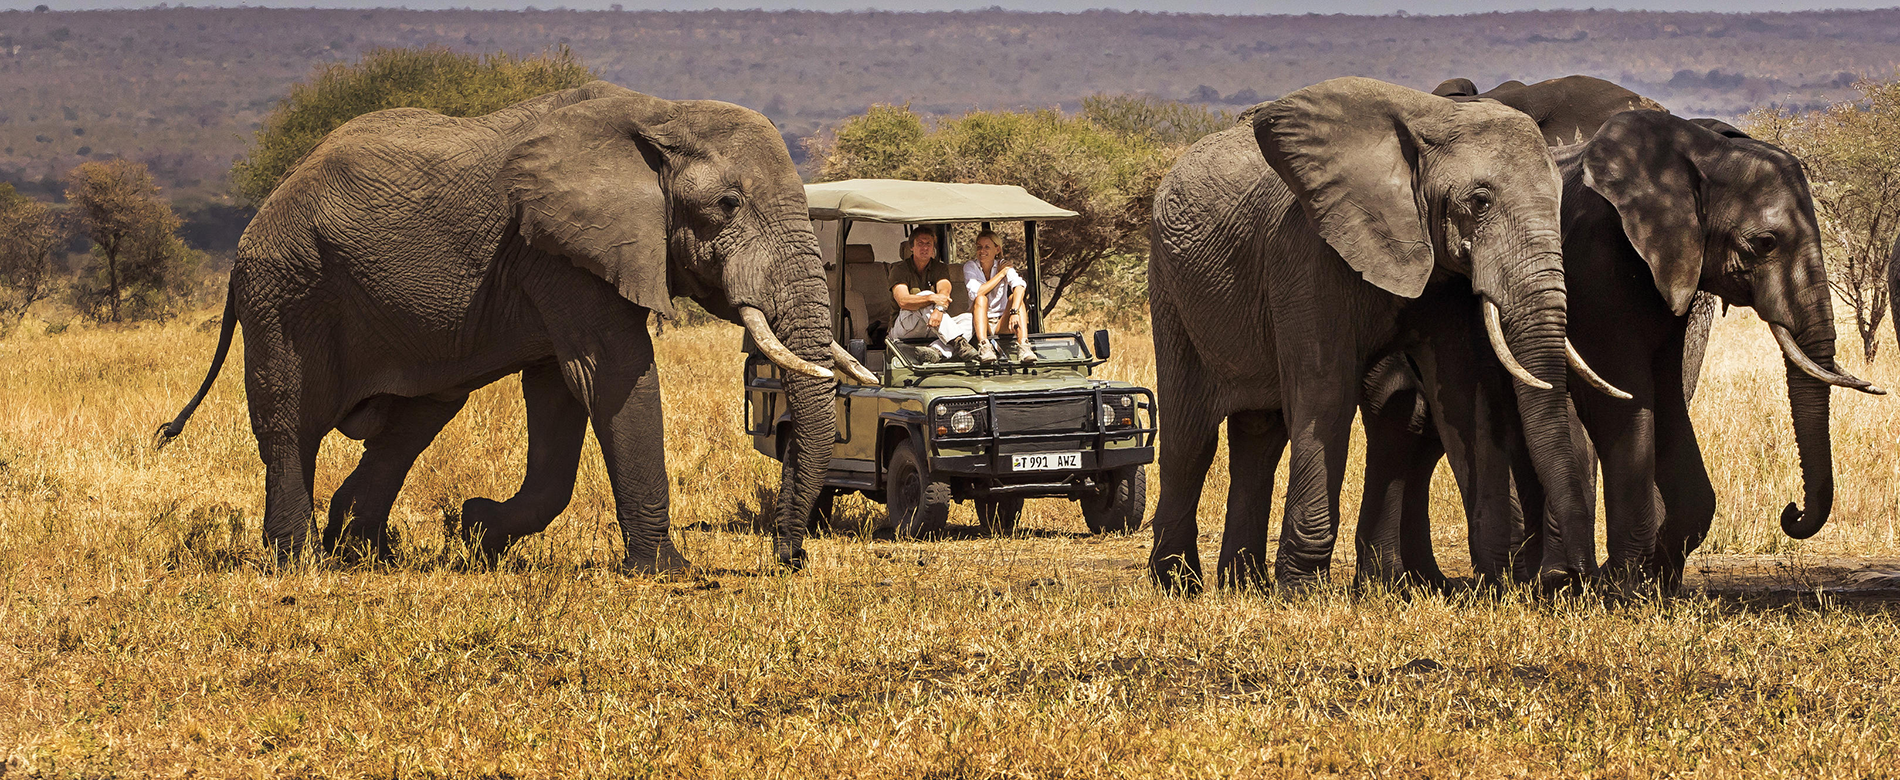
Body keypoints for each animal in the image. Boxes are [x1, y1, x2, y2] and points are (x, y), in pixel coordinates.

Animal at [155, 81, 876, 571]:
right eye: (727, 204)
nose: (788, 556)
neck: (660, 113)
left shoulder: (558, 259)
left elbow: (561, 394)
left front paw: (477, 531)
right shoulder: (554, 251)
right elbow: (613, 373)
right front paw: (670, 572)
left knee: (411, 423)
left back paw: (360, 551)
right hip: (285, 289)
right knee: (291, 423)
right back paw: (300, 561)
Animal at [1146, 76, 1605, 592]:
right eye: (1480, 201)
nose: (1572, 577)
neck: (1431, 123)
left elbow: (1463, 398)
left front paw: (1502, 585)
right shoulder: (1307, 255)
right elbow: (1325, 393)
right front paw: (1300, 594)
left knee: (1261, 438)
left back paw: (1243, 585)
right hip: (1170, 290)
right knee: (1190, 438)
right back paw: (1177, 583)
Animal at [1360, 105, 1887, 589]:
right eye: (1765, 243)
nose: (1791, 512)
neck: (1700, 151)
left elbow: (1668, 402)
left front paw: (1655, 583)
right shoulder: (1598, 263)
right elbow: (1624, 402)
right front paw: (1623, 586)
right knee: (1404, 426)